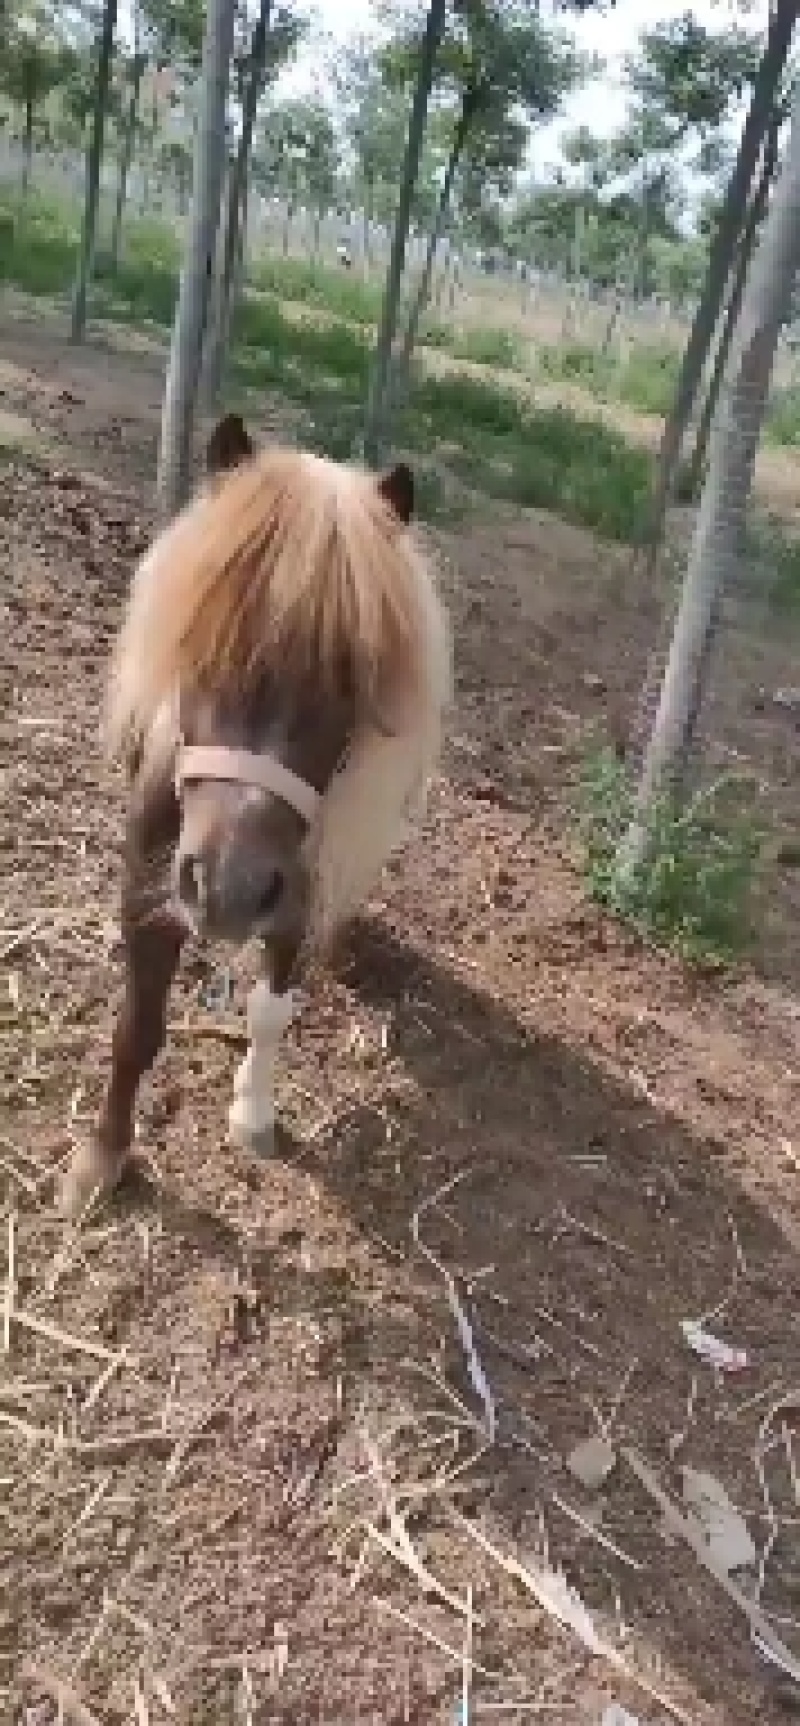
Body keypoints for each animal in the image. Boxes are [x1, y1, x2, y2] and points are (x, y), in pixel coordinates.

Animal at [61, 419, 452, 1216]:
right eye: (204, 641)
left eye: (350, 677)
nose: (230, 889)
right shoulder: (150, 882)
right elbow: (138, 1024)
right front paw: (102, 1159)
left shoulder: (298, 887)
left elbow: (272, 1009)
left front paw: (252, 1112)